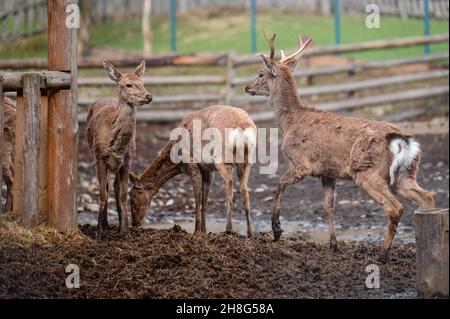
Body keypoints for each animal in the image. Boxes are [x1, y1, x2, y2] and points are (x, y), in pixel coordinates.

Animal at [86, 60, 153, 240]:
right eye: (128, 84)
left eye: (143, 83)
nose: (148, 96)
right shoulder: (99, 157)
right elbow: (102, 193)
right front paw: (98, 233)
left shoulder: (127, 160)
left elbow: (123, 194)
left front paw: (126, 232)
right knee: (107, 188)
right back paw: (105, 226)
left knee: (115, 187)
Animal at [246, 32, 436, 262]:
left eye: (260, 73)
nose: (247, 87)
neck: (289, 122)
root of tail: (401, 139)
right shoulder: (328, 172)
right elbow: (328, 206)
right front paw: (333, 244)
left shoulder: (302, 163)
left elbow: (279, 184)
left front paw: (276, 230)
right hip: (406, 173)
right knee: (427, 196)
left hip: (367, 172)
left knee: (395, 207)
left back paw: (382, 255)